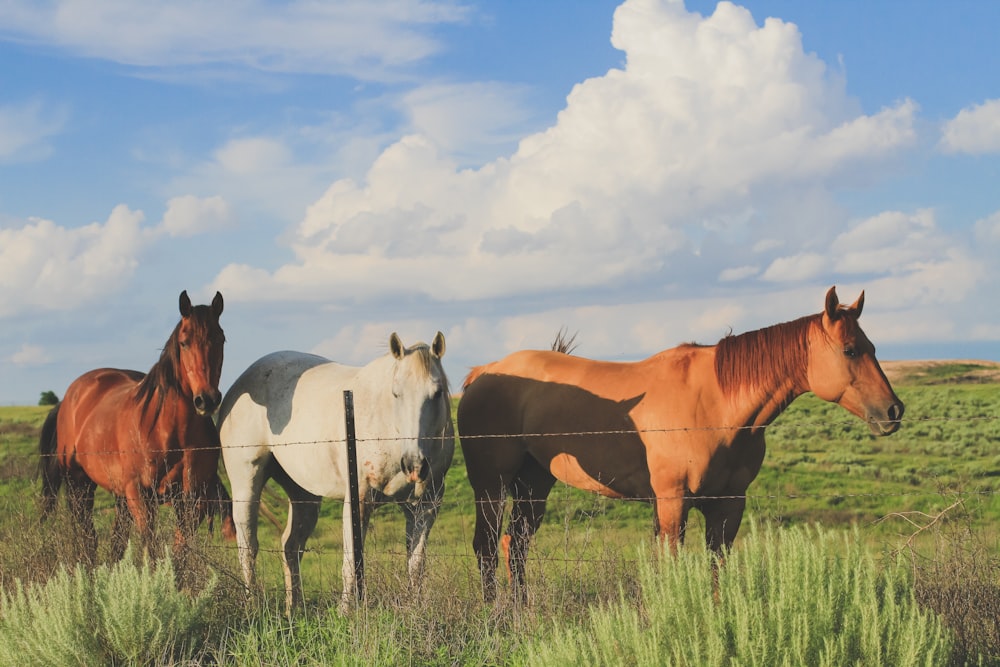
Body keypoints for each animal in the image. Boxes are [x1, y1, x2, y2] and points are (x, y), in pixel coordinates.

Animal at [38, 290, 232, 564]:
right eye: (184, 342)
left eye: (220, 339)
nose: (207, 399)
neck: (171, 433)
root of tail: (69, 397)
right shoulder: (141, 496)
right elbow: (152, 550)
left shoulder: (193, 499)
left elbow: (180, 554)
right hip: (79, 484)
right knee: (87, 538)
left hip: (119, 495)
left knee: (116, 542)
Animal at [221, 332, 456, 612]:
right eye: (396, 394)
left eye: (437, 393)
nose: (414, 465)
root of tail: (238, 386)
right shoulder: (359, 500)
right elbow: (351, 562)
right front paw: (345, 611)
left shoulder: (426, 505)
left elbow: (416, 564)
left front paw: (415, 608)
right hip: (246, 482)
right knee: (248, 545)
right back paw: (252, 604)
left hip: (304, 495)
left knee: (291, 546)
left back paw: (294, 609)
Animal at [460, 286, 908, 600]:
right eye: (850, 350)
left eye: (872, 347)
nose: (893, 411)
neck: (716, 404)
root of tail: (483, 372)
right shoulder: (673, 502)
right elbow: (671, 567)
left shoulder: (728, 506)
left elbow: (716, 568)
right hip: (491, 485)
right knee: (486, 546)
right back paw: (493, 617)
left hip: (534, 483)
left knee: (514, 545)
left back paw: (520, 612)